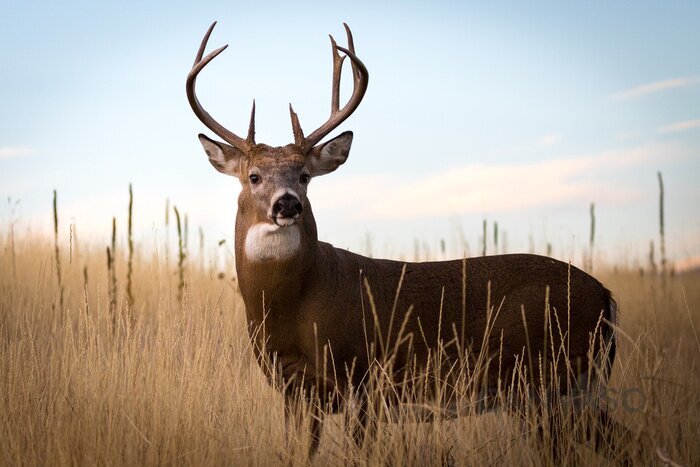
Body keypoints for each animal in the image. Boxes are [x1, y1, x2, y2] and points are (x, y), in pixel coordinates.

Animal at [189, 22, 628, 460]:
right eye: (254, 176)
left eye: (305, 176)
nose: (287, 204)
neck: (295, 303)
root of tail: (606, 295)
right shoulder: (294, 389)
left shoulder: (364, 378)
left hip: (550, 379)